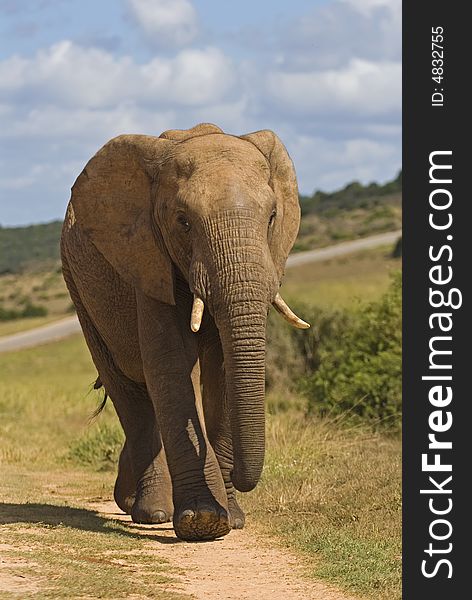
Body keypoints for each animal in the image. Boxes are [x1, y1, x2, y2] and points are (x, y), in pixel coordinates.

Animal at [60, 120, 310, 540]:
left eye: (272, 217)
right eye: (184, 222)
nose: (241, 479)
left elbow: (222, 370)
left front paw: (232, 518)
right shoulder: (147, 256)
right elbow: (170, 363)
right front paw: (203, 521)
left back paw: (132, 500)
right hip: (79, 290)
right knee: (129, 392)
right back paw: (152, 511)